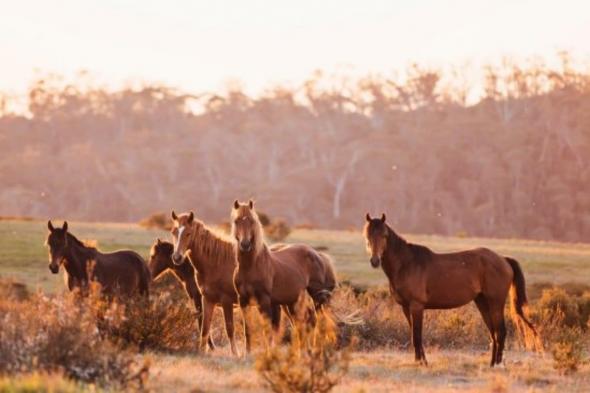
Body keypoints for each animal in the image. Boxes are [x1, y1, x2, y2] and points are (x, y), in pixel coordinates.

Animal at [170, 211, 242, 356]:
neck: (217, 263)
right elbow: (205, 328)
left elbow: (230, 328)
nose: (177, 257)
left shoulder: (227, 302)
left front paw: (236, 354)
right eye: (174, 231)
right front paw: (202, 352)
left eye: (188, 233)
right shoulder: (208, 300)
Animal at [234, 199, 340, 350]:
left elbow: (267, 329)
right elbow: (247, 330)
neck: (251, 266)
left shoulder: (264, 300)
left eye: (252, 221)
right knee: (304, 321)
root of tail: (318, 254)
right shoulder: (243, 300)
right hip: (291, 302)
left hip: (317, 296)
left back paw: (314, 348)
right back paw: (303, 349)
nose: (245, 244)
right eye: (236, 221)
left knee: (318, 320)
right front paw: (247, 352)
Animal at [364, 213, 540, 366]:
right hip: (482, 302)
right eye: (368, 236)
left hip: (495, 303)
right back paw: (491, 364)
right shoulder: (406, 308)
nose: (374, 261)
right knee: (493, 334)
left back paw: (497, 365)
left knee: (500, 332)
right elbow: (414, 335)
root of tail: (503, 259)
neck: (406, 264)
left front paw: (422, 363)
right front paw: (420, 361)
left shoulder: (417, 306)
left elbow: (417, 337)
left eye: (384, 235)